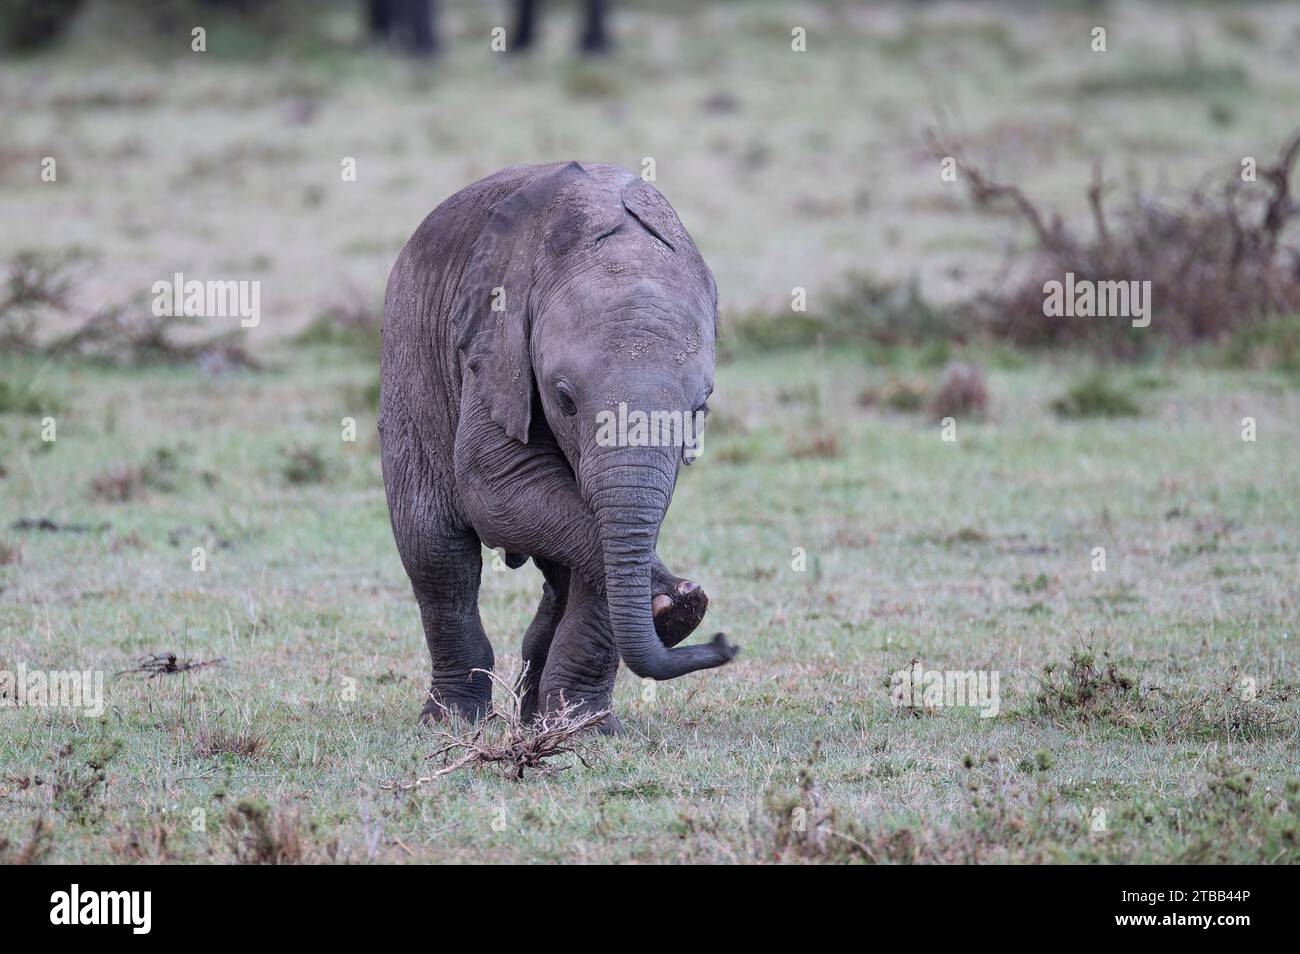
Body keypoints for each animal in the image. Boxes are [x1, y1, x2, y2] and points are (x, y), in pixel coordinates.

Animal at [379, 161, 738, 731]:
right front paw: (676, 604)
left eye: (700, 409)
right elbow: (495, 485)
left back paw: (533, 721)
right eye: (564, 400)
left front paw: (586, 730)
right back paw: (453, 721)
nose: (724, 642)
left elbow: (602, 533)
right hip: (406, 355)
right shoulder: (493, 342)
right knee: (436, 553)